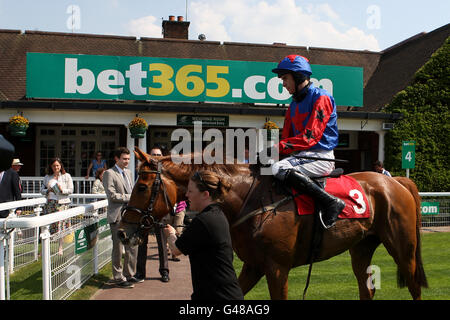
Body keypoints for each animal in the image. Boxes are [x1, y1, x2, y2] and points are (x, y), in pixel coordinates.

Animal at [119, 148, 428, 300]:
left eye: (142, 187)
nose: (123, 230)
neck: (250, 198)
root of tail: (396, 181)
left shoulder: (277, 268)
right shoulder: (254, 265)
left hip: (403, 248)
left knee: (414, 286)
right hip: (361, 247)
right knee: (367, 289)